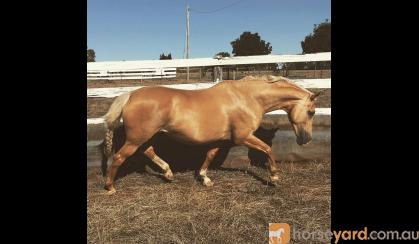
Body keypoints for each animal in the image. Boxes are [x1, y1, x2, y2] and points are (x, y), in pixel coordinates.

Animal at [101, 75, 322, 193]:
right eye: (311, 112)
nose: (306, 140)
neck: (247, 97)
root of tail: (130, 95)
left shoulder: (221, 140)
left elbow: (209, 156)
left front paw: (205, 179)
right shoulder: (243, 137)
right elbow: (267, 149)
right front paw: (275, 177)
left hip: (145, 136)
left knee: (148, 151)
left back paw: (169, 173)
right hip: (136, 138)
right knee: (119, 157)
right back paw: (110, 187)